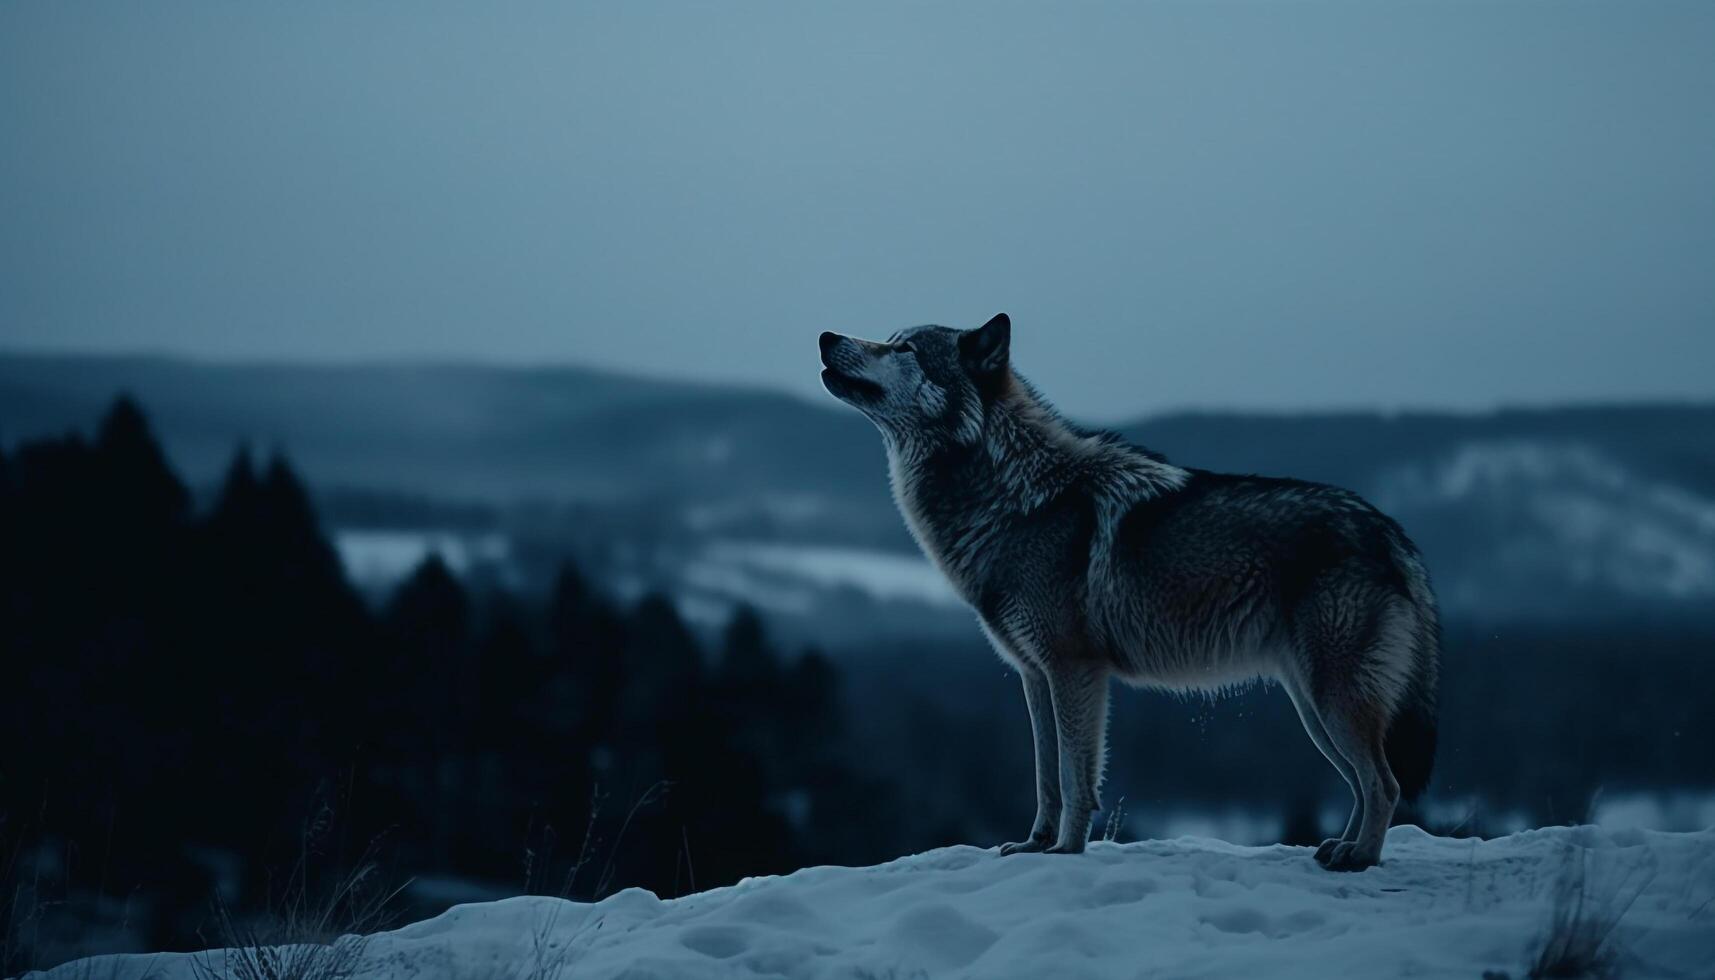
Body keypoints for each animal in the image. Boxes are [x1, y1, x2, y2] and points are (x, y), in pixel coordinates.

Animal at [816, 315, 1433, 875]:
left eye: (905, 348)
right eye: (890, 339)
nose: (825, 336)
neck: (1011, 495)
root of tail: (1391, 532)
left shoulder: (1075, 671)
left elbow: (1075, 777)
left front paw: (1066, 852)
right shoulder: (1034, 676)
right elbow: (1045, 778)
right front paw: (1035, 845)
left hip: (1331, 700)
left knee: (1384, 783)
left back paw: (1359, 858)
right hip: (1313, 708)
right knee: (1363, 783)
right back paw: (1337, 848)